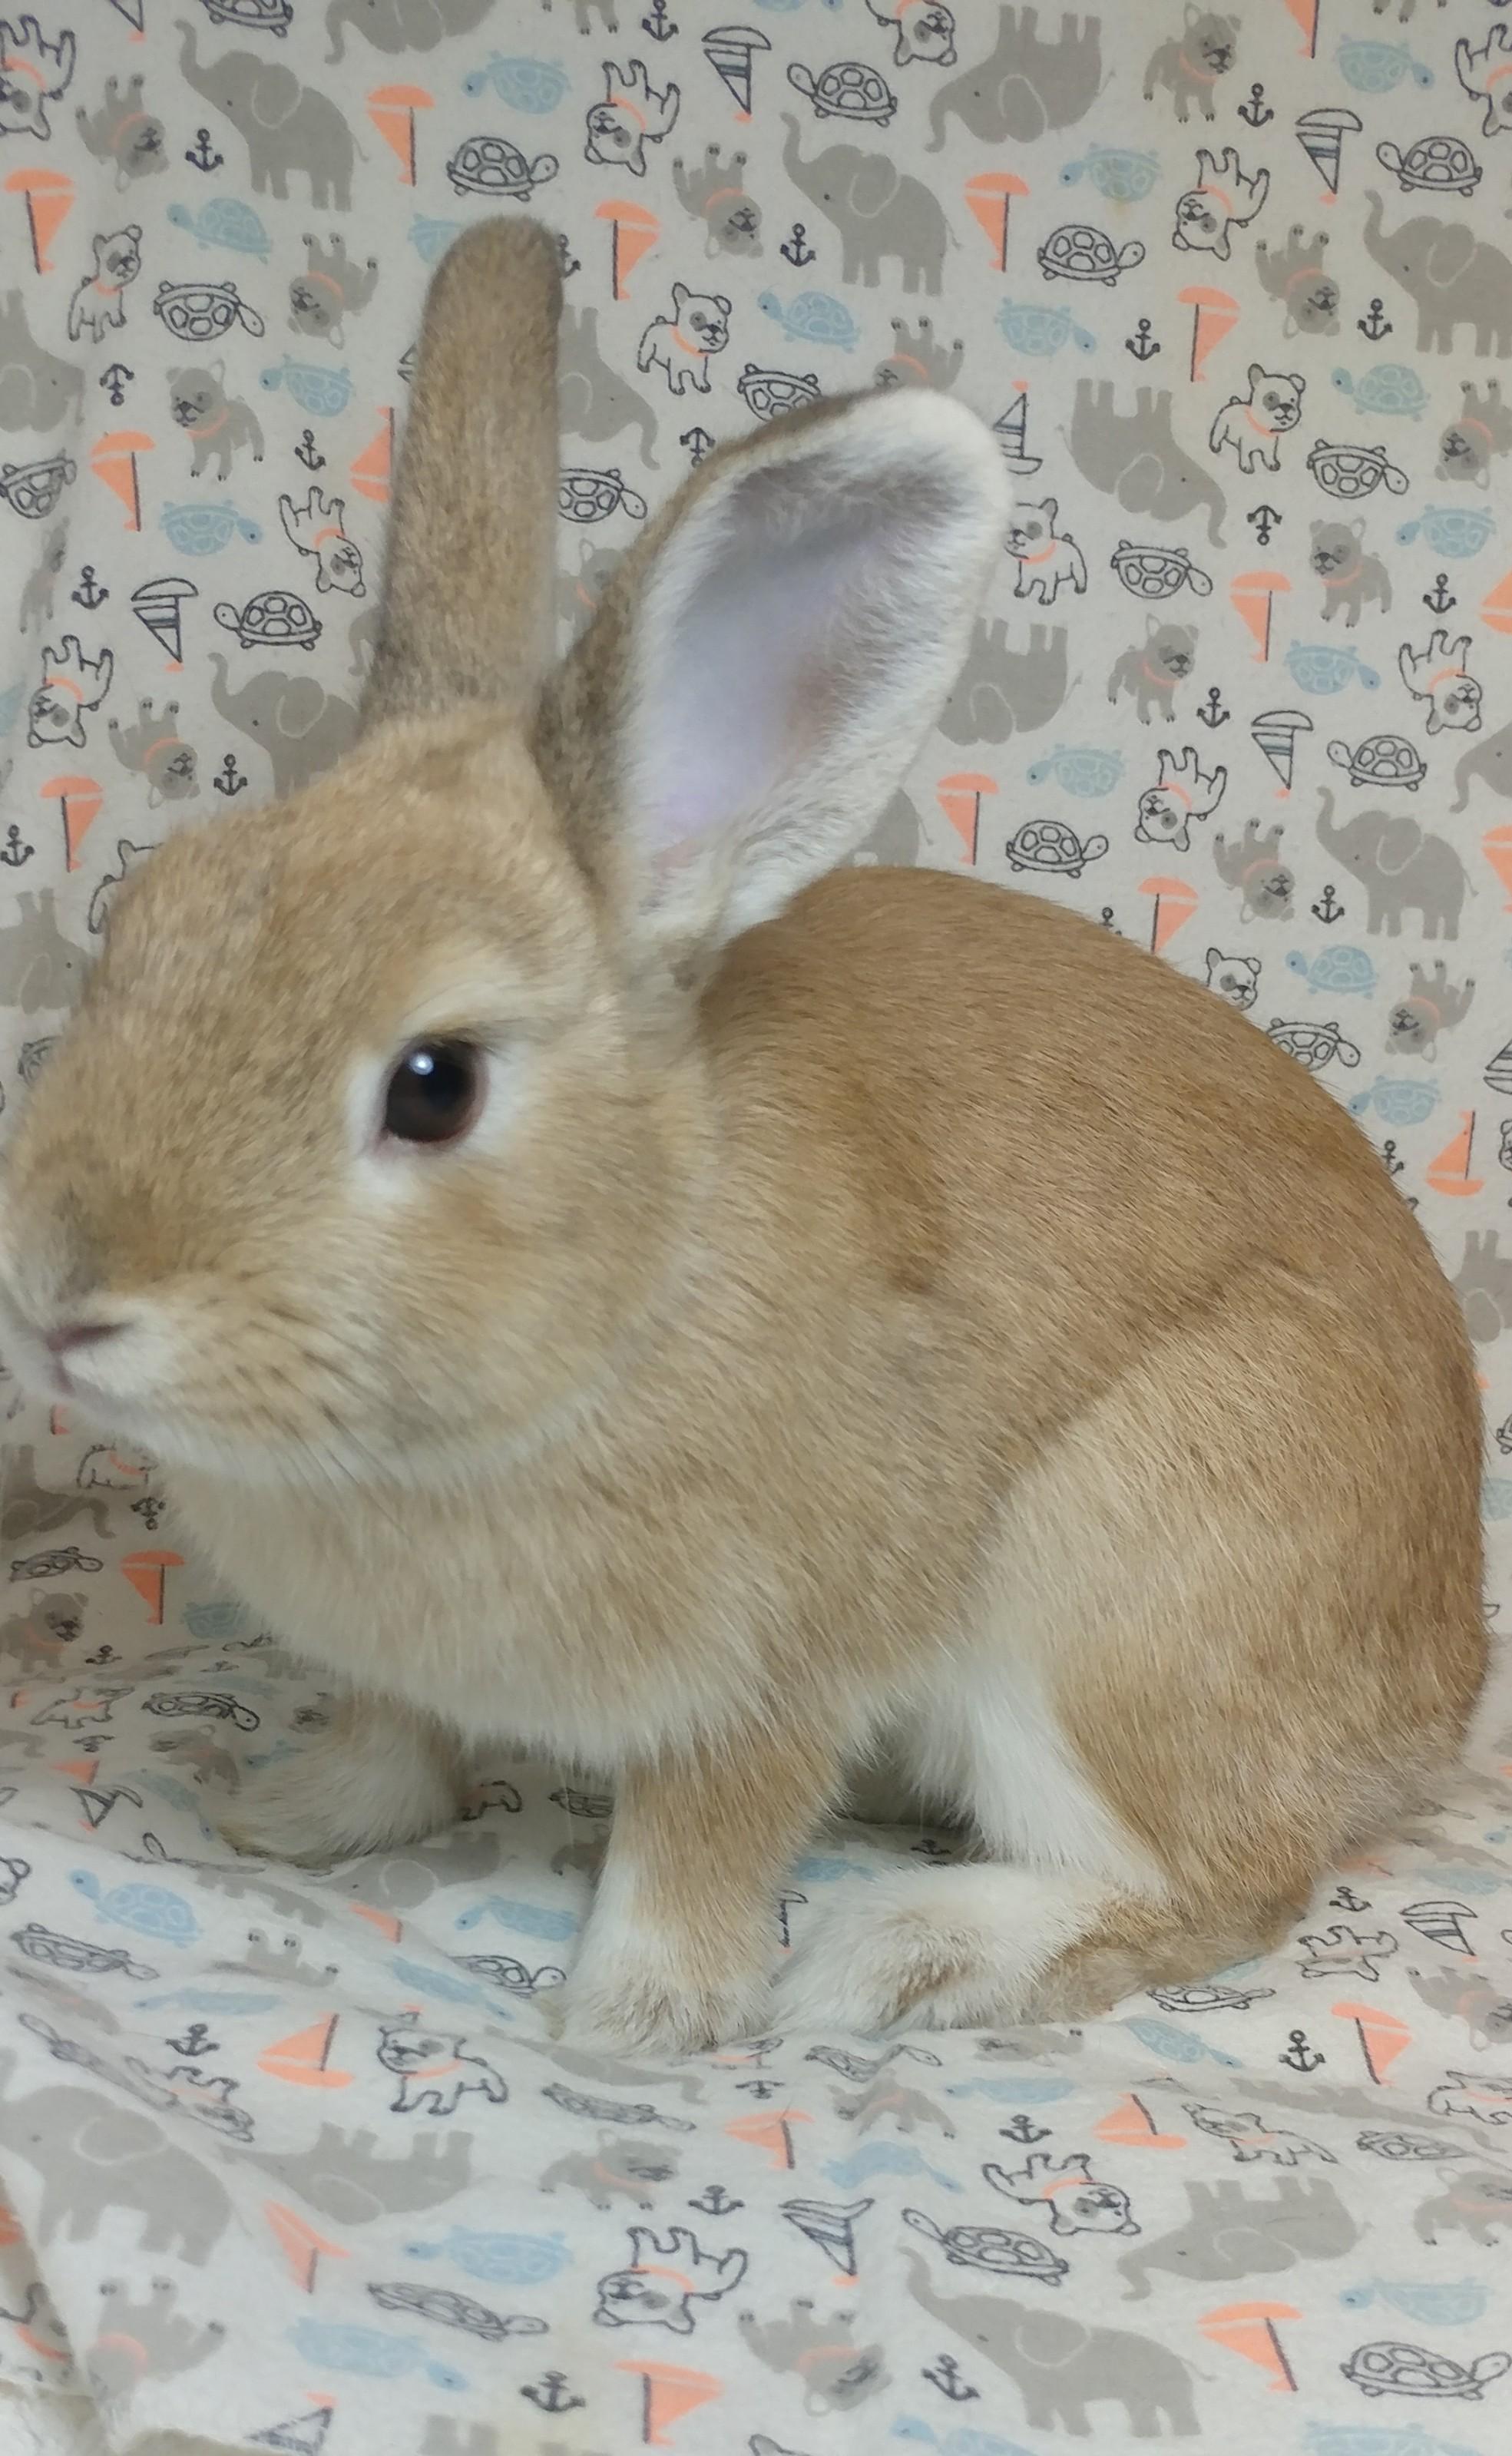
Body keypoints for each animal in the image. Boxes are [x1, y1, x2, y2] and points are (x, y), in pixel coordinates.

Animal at [0, 222, 1485, 2057]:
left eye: (434, 1084)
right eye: (139, 918)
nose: (60, 1303)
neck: (627, 1292)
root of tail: (1439, 1698)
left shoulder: (776, 1666)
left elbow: (702, 1832)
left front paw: (633, 2017)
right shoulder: (406, 1667)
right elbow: (393, 1736)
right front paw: (294, 1816)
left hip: (1118, 1586)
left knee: (1228, 1882)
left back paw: (904, 1951)